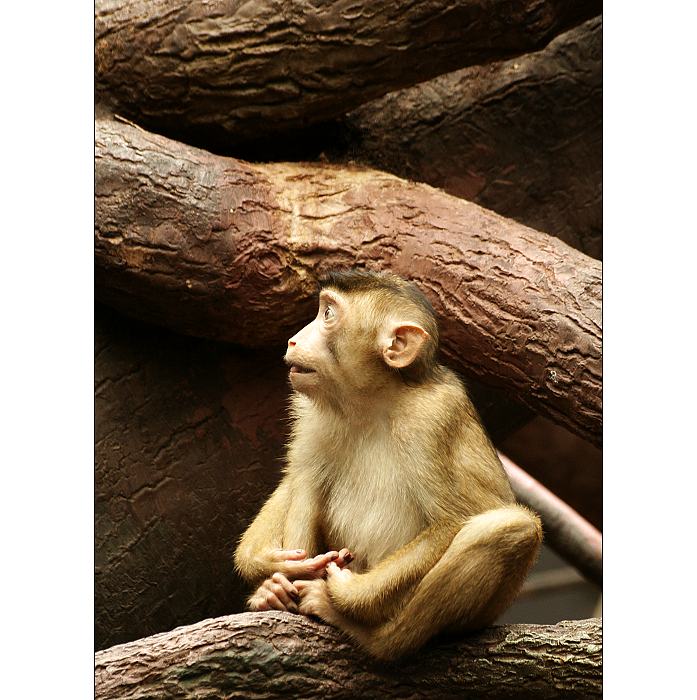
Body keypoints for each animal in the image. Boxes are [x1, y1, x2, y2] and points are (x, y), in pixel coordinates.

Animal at [234, 268, 542, 660]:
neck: (374, 402)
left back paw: (373, 637)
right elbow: (304, 480)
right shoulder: (311, 415)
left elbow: (452, 520)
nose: (293, 340)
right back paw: (269, 589)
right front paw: (283, 572)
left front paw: (343, 591)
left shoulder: (432, 416)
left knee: (511, 527)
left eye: (328, 315)